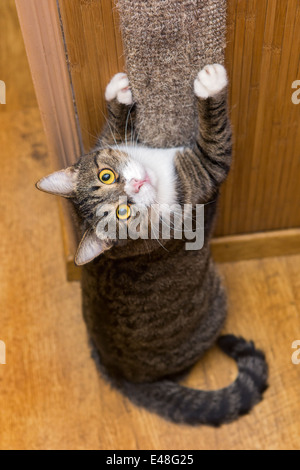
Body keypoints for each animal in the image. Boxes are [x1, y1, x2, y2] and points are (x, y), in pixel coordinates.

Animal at [36, 64, 268, 428]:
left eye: (105, 175)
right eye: (123, 212)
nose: (136, 184)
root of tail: (121, 373)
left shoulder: (109, 144)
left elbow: (111, 134)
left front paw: (117, 93)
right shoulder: (201, 174)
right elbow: (215, 142)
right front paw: (210, 84)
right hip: (215, 305)